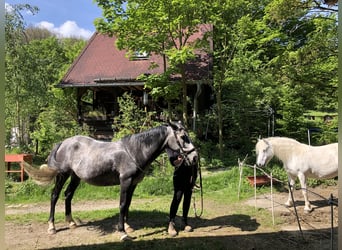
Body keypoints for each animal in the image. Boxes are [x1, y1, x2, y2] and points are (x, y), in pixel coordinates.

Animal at [24, 122, 198, 239]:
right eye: (183, 137)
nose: (195, 157)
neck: (135, 151)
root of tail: (63, 143)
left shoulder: (133, 184)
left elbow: (128, 204)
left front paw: (128, 227)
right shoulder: (125, 181)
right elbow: (122, 204)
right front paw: (122, 232)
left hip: (75, 176)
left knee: (68, 195)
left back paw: (71, 222)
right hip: (63, 174)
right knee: (54, 196)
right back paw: (52, 226)